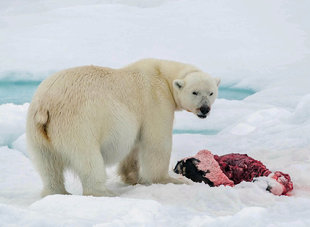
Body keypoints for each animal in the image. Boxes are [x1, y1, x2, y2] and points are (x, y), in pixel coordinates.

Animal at [26, 59, 220, 197]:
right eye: (195, 92)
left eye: (211, 93)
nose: (205, 109)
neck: (164, 75)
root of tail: (45, 106)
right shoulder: (156, 100)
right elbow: (156, 143)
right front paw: (169, 180)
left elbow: (134, 147)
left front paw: (132, 177)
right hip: (78, 124)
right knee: (88, 159)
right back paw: (104, 192)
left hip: (38, 132)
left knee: (48, 164)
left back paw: (57, 192)